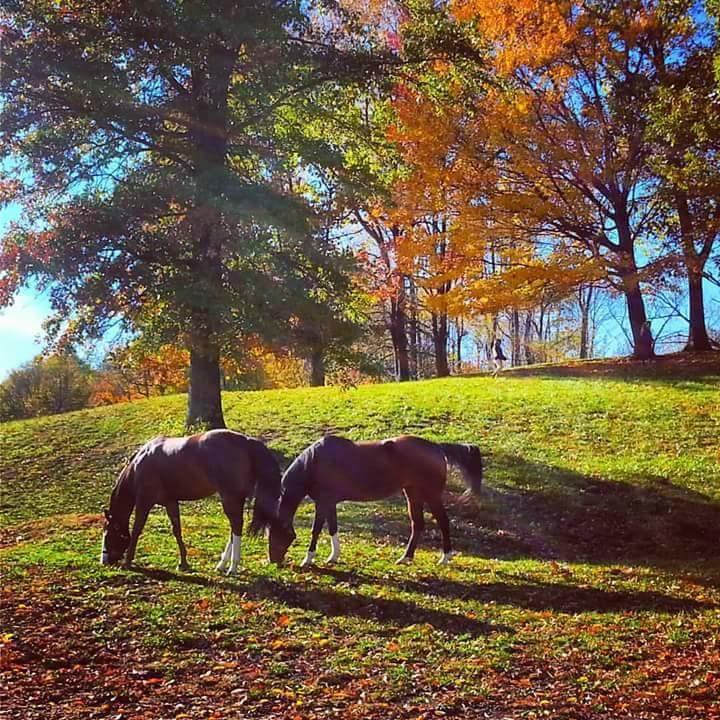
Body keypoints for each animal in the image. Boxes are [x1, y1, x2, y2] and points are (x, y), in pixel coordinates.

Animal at [101, 429, 281, 574]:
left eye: (108, 533)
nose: (104, 561)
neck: (138, 466)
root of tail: (246, 441)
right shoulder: (170, 502)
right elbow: (177, 530)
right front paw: (183, 564)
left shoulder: (144, 502)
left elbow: (137, 529)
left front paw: (128, 561)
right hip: (236, 498)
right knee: (234, 528)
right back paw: (222, 565)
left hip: (230, 497)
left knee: (236, 526)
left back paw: (232, 567)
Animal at [268, 435, 483, 567]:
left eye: (277, 534)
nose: (273, 561)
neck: (314, 463)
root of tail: (437, 447)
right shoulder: (330, 503)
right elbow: (332, 528)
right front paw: (333, 557)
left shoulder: (323, 502)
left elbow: (316, 530)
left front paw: (308, 559)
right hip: (413, 493)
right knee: (418, 524)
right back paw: (405, 558)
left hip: (431, 494)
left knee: (443, 522)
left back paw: (445, 558)